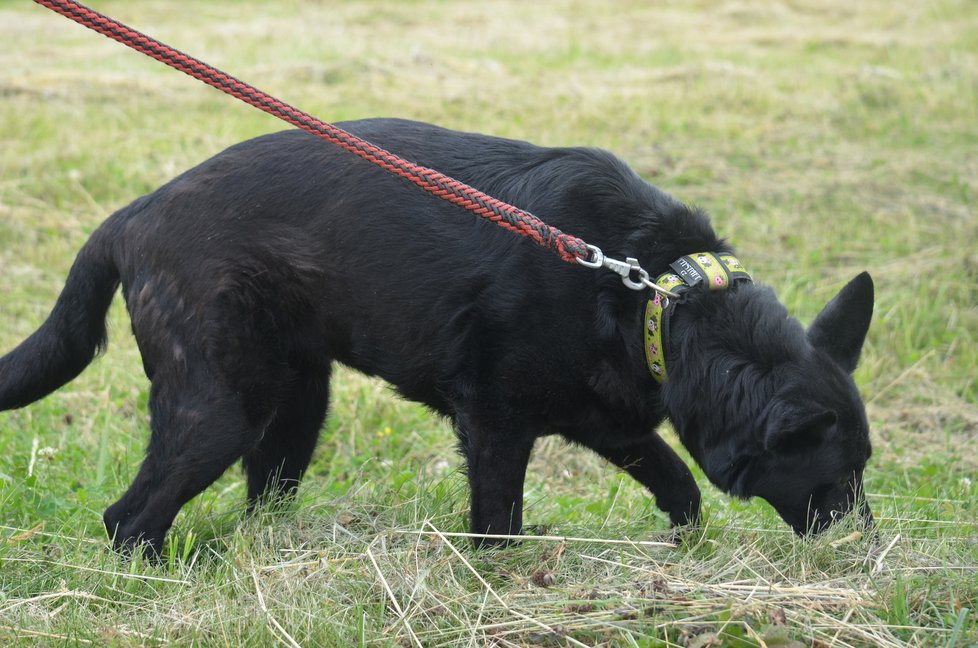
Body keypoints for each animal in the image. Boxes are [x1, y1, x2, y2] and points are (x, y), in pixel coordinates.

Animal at [0, 117, 876, 552]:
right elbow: (499, 525)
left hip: (295, 408)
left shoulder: (606, 418)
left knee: (260, 496)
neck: (653, 290)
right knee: (128, 519)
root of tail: (131, 216)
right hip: (218, 411)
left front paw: (684, 549)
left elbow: (679, 484)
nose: (866, 553)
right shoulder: (495, 425)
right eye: (836, 479)